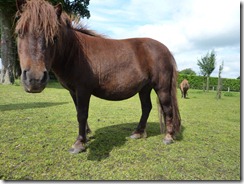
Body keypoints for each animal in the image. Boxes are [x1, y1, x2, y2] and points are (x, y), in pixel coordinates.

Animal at [14, 0, 179, 154]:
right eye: (19, 33)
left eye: (54, 37)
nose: (34, 80)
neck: (74, 52)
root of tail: (165, 49)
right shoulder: (73, 91)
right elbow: (79, 112)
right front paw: (86, 136)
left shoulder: (83, 90)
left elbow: (82, 114)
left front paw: (79, 143)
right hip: (144, 88)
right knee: (146, 107)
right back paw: (138, 133)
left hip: (162, 87)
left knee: (167, 108)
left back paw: (168, 137)